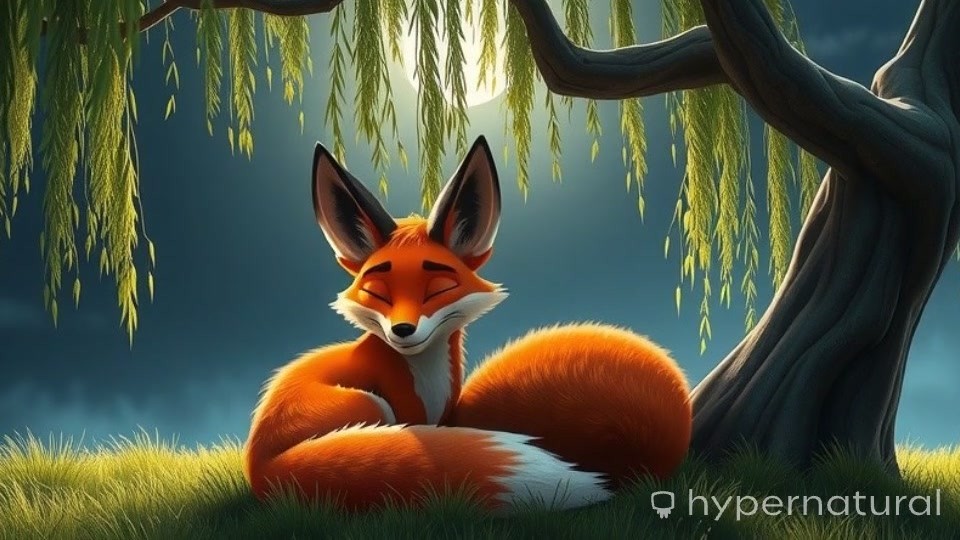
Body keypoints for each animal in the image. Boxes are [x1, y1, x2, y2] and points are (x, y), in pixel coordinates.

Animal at [243, 135, 692, 513]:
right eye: (378, 292)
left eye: (438, 288)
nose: (402, 331)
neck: (428, 379)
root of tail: (258, 466)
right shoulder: (408, 412)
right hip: (370, 405)